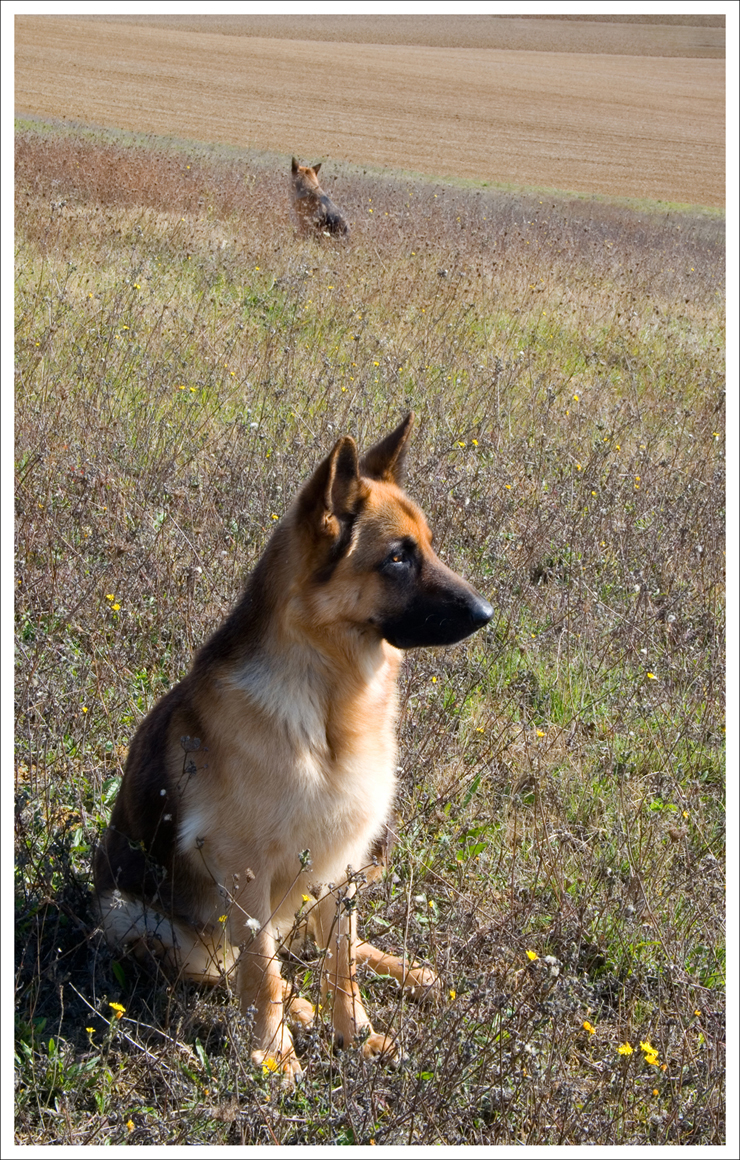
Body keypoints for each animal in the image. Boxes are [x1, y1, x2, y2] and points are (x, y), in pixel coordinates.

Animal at [95, 415, 496, 1076]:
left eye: (430, 547)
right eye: (397, 558)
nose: (488, 613)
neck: (329, 705)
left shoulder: (345, 863)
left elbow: (340, 962)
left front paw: (356, 1035)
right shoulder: (246, 874)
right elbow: (261, 971)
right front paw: (275, 1057)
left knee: (331, 947)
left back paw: (403, 970)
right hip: (127, 914)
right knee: (232, 968)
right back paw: (295, 1008)